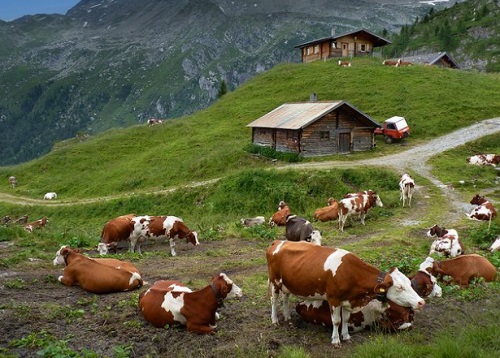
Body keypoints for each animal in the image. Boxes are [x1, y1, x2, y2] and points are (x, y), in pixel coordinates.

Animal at [268, 241, 424, 346]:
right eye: (399, 287)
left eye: (409, 283)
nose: (421, 302)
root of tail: (279, 242)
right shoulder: (333, 299)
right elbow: (336, 321)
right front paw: (336, 340)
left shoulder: (348, 300)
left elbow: (346, 319)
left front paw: (346, 336)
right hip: (275, 282)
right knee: (274, 300)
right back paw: (275, 320)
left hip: (287, 285)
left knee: (285, 298)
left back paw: (287, 317)